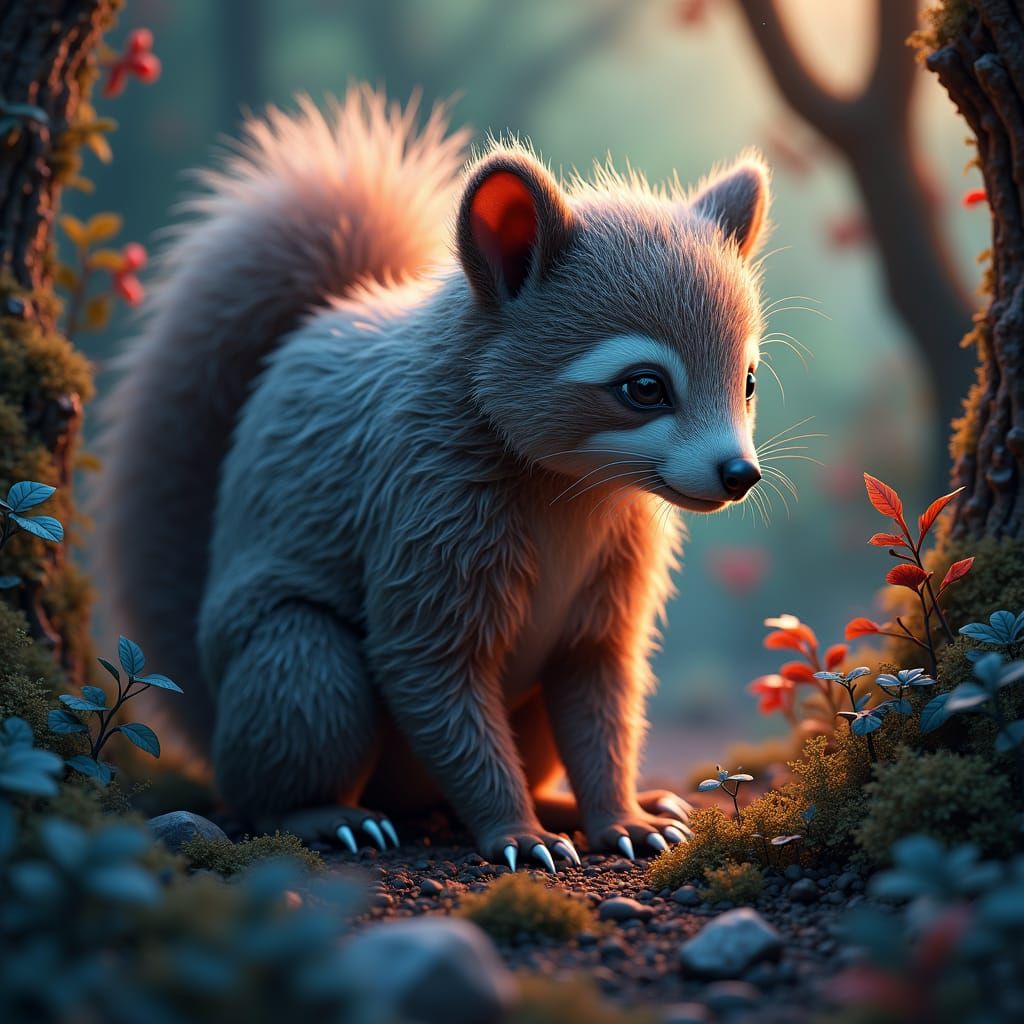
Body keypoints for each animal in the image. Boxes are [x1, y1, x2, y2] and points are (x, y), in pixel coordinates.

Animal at [97, 88, 770, 871]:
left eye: (749, 381)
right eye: (643, 387)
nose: (740, 474)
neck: (573, 487)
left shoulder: (616, 567)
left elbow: (599, 695)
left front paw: (619, 814)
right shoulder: (424, 503)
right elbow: (432, 674)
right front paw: (512, 829)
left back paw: (557, 800)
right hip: (298, 672)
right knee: (285, 738)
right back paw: (322, 811)